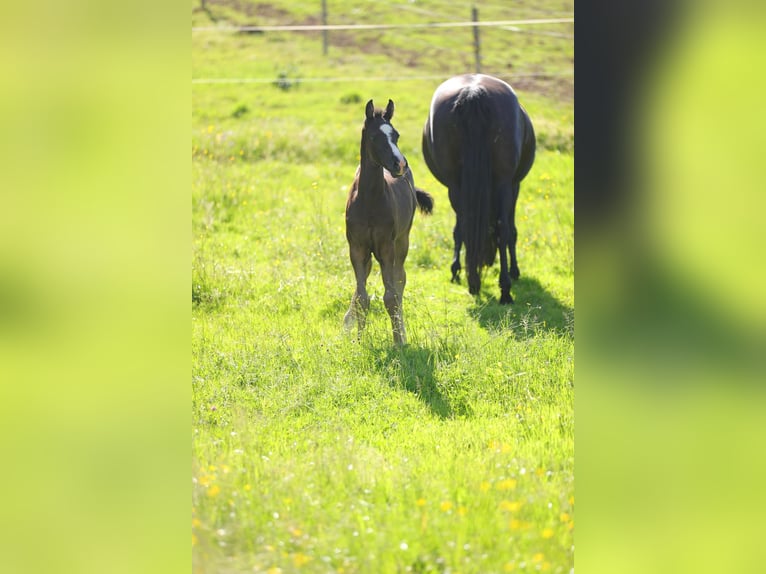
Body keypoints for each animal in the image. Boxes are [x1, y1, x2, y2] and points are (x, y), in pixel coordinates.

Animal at [344, 99, 433, 345]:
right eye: (375, 136)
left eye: (396, 135)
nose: (400, 164)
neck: (369, 201)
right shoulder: (357, 248)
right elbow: (362, 297)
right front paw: (358, 341)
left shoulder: (387, 247)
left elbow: (391, 296)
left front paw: (398, 341)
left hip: (402, 242)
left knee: (400, 281)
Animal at [422, 74, 536, 304]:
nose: (487, 261)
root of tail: (473, 91)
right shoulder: (514, 186)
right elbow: (511, 231)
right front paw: (514, 270)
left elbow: (460, 230)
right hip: (503, 184)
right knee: (502, 230)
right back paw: (504, 289)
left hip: (456, 187)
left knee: (465, 226)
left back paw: (471, 280)